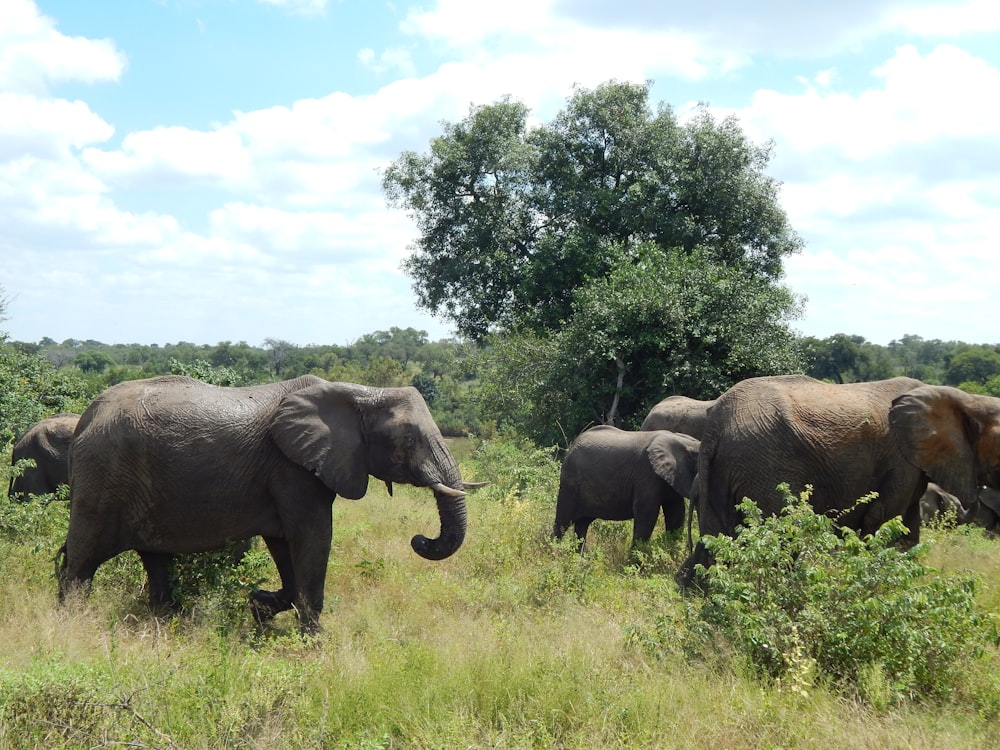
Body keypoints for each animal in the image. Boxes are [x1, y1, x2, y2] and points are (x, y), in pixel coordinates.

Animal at [62, 376, 476, 636]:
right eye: (407, 440)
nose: (419, 539)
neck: (361, 394)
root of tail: (86, 418)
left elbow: (285, 545)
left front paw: (259, 608)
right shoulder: (292, 468)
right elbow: (313, 536)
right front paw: (315, 643)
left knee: (154, 560)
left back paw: (167, 622)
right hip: (102, 477)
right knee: (80, 561)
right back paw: (71, 624)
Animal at [552, 428, 700, 552]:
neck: (686, 443)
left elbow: (676, 512)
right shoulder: (647, 475)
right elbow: (647, 513)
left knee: (582, 523)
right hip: (570, 484)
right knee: (563, 522)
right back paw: (554, 552)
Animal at [680, 376, 1000, 588]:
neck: (965, 399)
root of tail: (716, 424)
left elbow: (907, 531)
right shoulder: (902, 462)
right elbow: (884, 524)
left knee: (712, 543)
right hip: (765, 465)